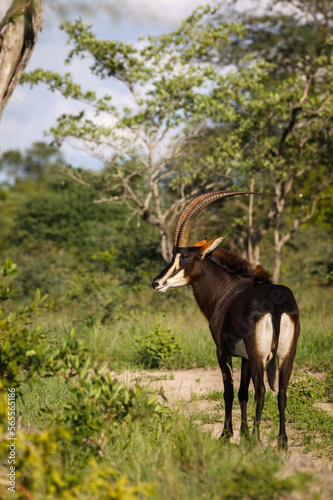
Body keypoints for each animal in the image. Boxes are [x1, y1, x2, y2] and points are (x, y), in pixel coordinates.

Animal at [152, 191, 300, 450]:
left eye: (185, 256)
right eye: (173, 255)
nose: (157, 282)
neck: (227, 289)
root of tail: (277, 304)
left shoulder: (222, 351)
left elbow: (229, 392)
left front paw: (227, 435)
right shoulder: (245, 357)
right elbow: (242, 392)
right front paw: (244, 434)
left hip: (260, 355)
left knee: (262, 389)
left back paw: (259, 441)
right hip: (285, 354)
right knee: (282, 391)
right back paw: (282, 442)